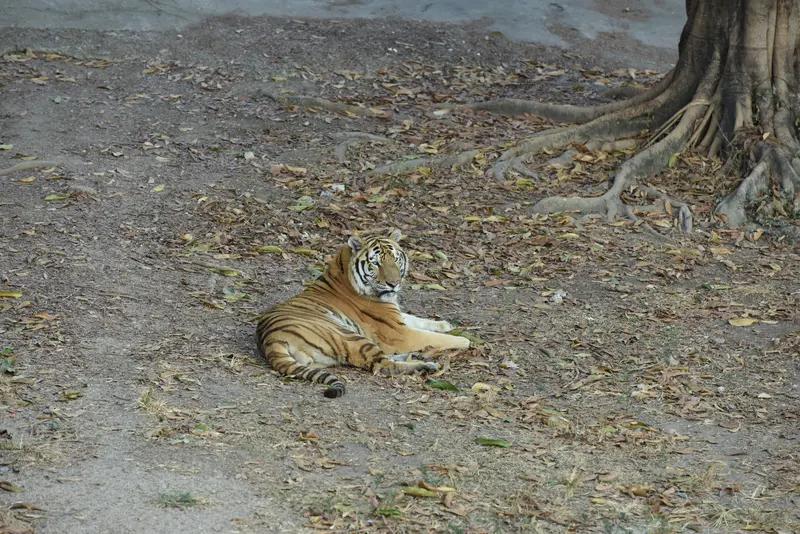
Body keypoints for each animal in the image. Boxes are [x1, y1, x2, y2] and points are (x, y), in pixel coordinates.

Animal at [255, 229, 470, 398]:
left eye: (396, 259)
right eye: (376, 264)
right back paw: (426, 365)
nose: (394, 283)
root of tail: (271, 340)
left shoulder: (397, 318)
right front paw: (465, 340)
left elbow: (418, 320)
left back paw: (418, 356)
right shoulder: (399, 333)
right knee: (383, 365)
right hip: (347, 335)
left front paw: (446, 325)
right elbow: (437, 338)